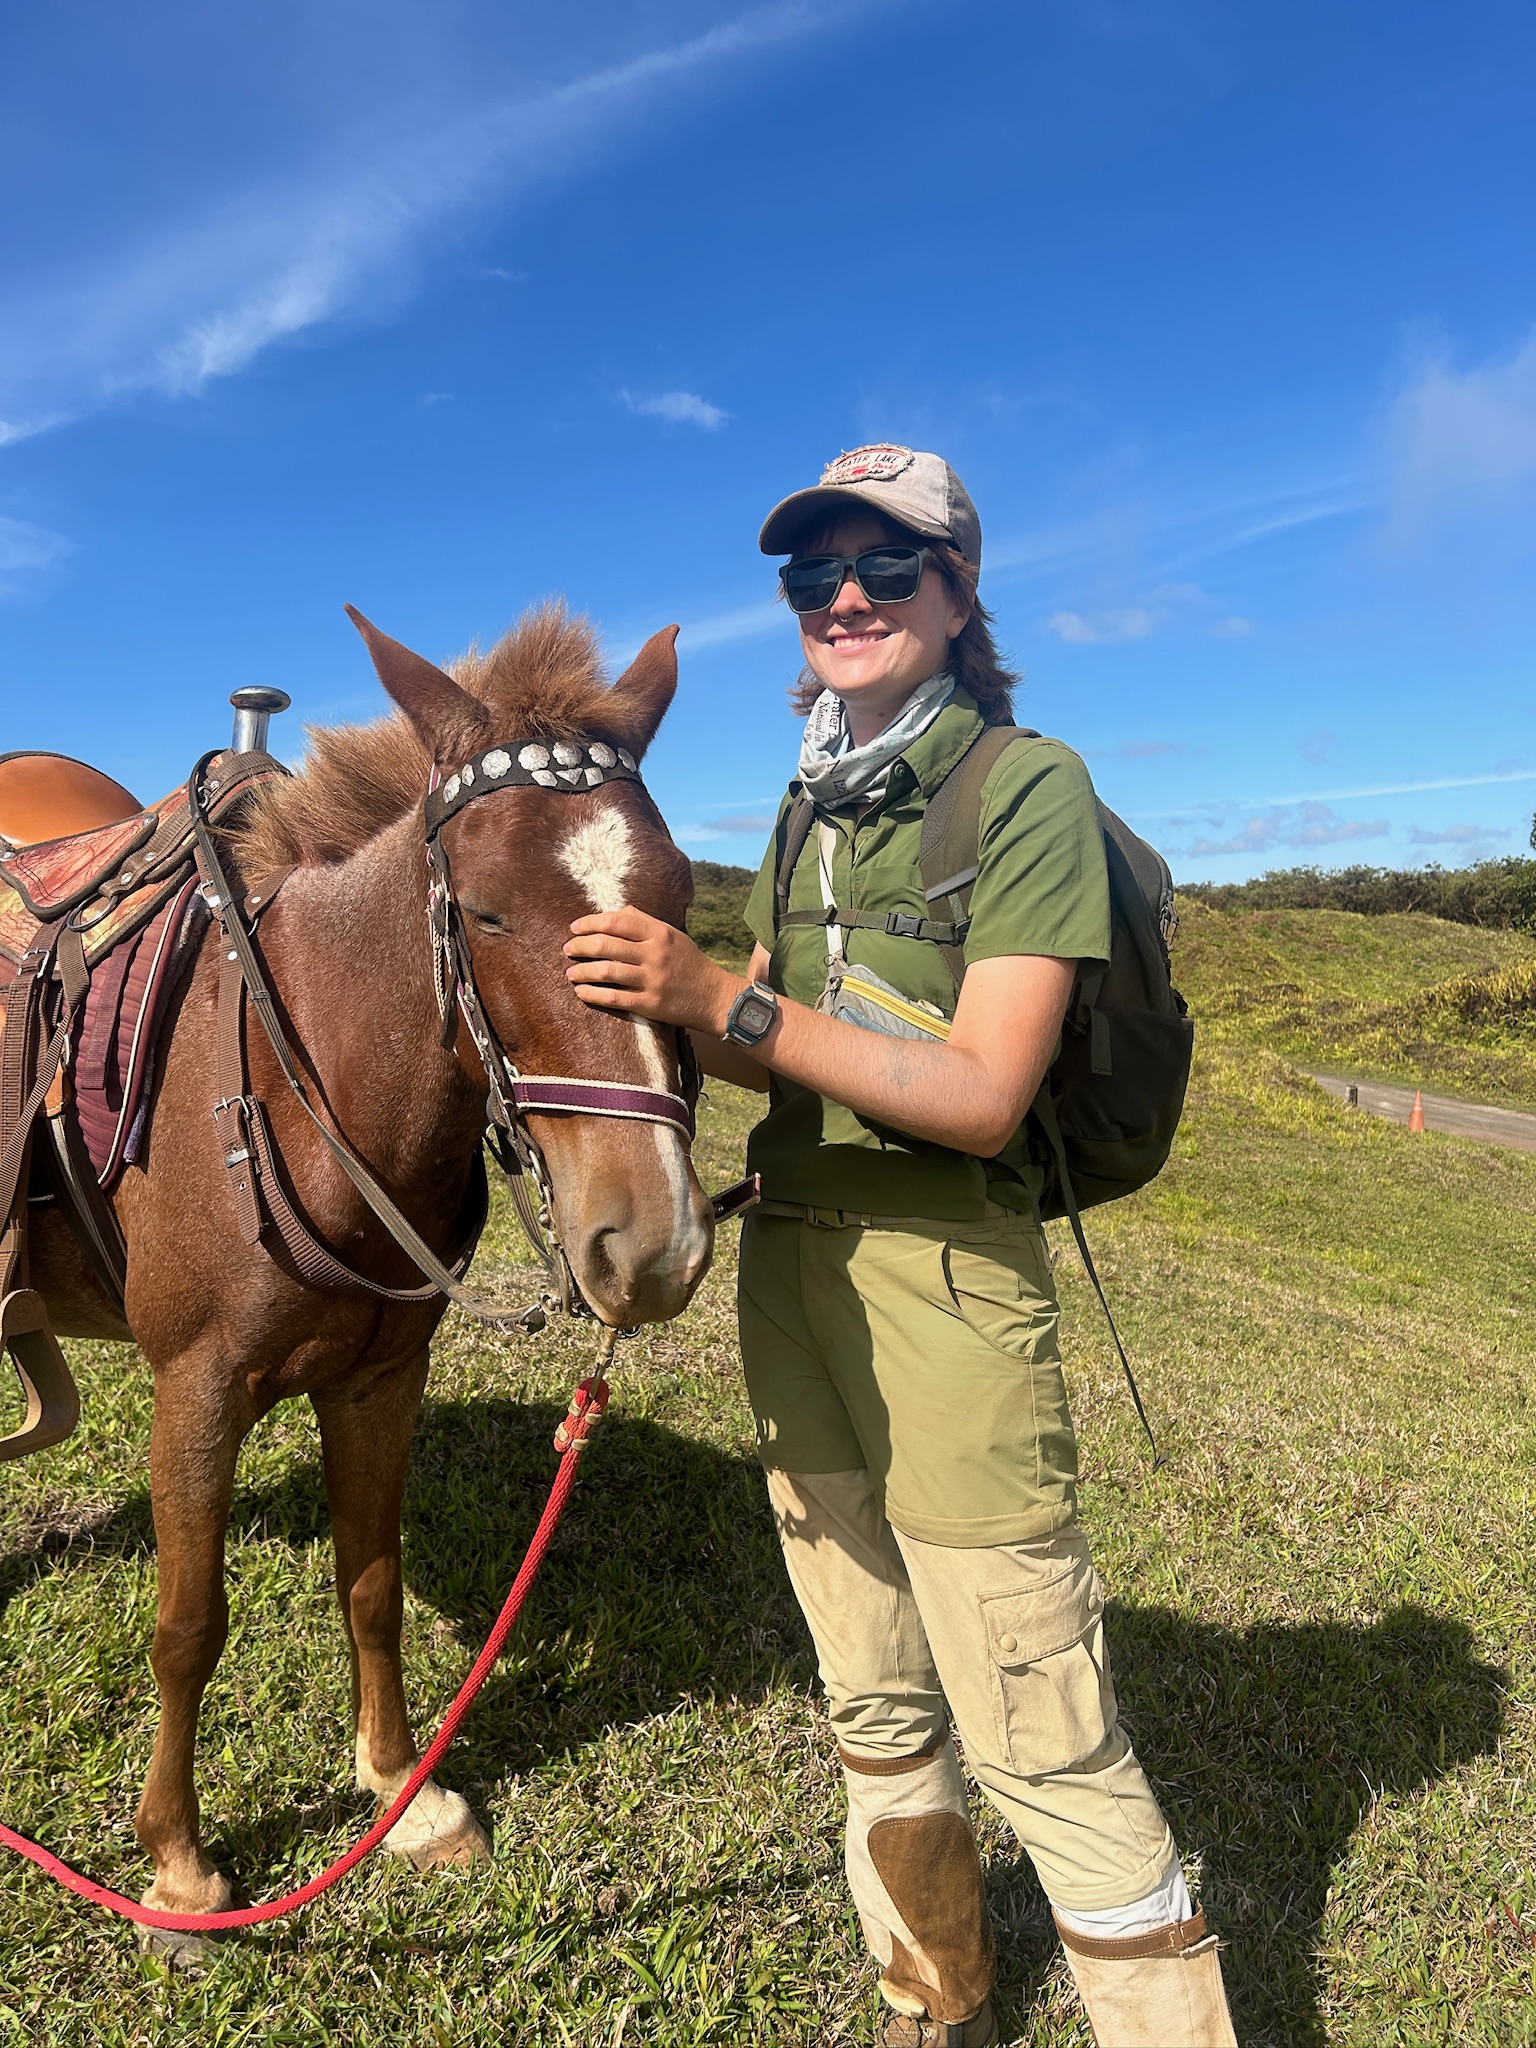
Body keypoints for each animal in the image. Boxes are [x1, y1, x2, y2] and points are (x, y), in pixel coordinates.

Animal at [26, 603, 715, 1948]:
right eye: (487, 915)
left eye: (676, 905)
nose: (651, 1244)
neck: (301, 1089)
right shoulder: (193, 1390)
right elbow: (188, 1626)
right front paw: (176, 1863)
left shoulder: (381, 1378)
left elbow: (373, 1581)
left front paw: (403, 1786)